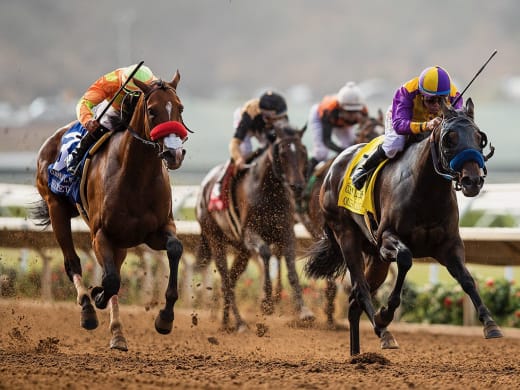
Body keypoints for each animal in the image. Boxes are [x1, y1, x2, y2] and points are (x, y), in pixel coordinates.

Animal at [32, 72, 189, 350]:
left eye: (179, 108)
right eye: (152, 110)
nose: (174, 153)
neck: (137, 177)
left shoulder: (158, 230)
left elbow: (174, 248)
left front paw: (165, 318)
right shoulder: (101, 234)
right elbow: (111, 280)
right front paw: (97, 296)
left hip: (121, 241)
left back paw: (117, 333)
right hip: (56, 209)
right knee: (73, 263)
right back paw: (87, 309)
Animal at [196, 123, 314, 330]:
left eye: (303, 151)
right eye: (282, 152)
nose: (298, 185)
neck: (269, 192)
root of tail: (204, 186)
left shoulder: (287, 233)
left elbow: (291, 268)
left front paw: (304, 311)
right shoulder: (249, 233)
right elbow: (266, 253)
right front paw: (267, 302)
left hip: (242, 251)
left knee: (230, 281)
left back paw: (227, 322)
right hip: (215, 239)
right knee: (225, 279)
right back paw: (240, 323)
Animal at [302, 99, 502, 354]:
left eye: (479, 137)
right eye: (449, 138)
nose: (472, 181)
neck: (426, 191)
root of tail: (333, 166)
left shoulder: (449, 244)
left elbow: (467, 279)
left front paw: (490, 323)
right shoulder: (387, 238)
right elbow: (405, 259)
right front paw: (385, 314)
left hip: (375, 258)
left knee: (355, 299)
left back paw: (357, 353)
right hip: (346, 235)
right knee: (360, 289)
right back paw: (383, 332)